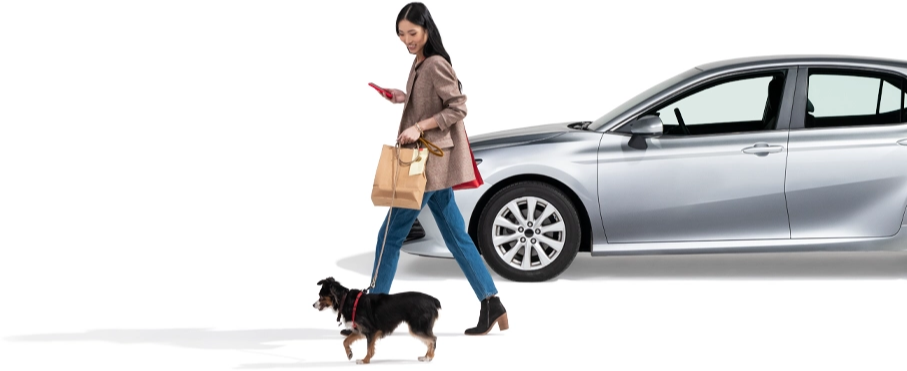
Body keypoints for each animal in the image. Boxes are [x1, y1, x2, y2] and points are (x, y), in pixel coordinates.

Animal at [316, 278, 444, 364]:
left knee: (433, 339)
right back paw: (426, 356)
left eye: (321, 296)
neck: (346, 300)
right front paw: (349, 353)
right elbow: (345, 341)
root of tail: (433, 300)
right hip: (420, 326)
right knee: (430, 340)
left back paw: (429, 357)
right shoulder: (360, 330)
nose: (313, 305)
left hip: (417, 327)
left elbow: (369, 348)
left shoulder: (370, 330)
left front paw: (365, 360)